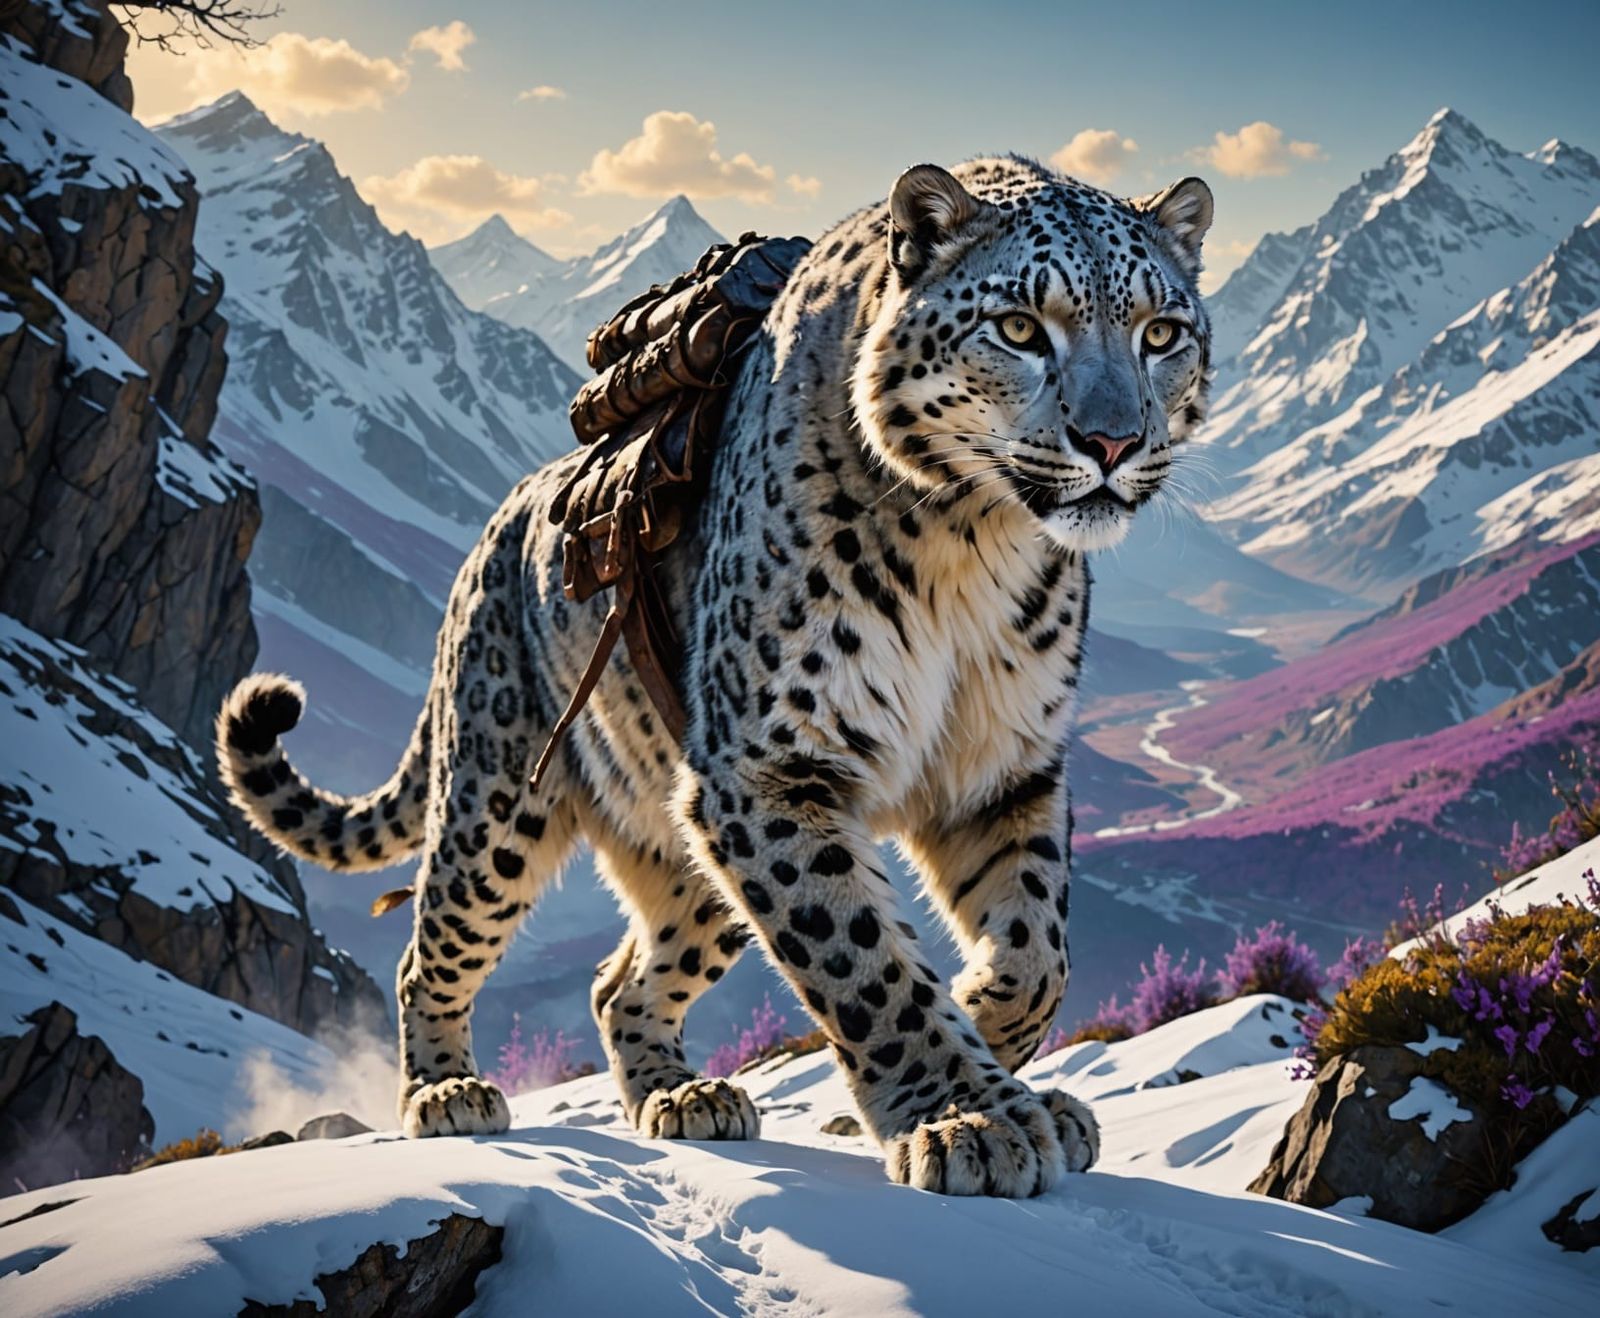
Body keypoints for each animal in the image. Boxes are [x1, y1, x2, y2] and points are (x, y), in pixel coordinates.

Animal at [217, 154, 1214, 1198]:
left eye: (1161, 332)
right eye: (1021, 327)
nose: (1114, 443)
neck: (974, 549)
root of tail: (491, 532)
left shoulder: (1004, 763)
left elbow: (1037, 943)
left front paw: (992, 1032)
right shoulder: (774, 763)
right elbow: (864, 963)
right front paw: (968, 1118)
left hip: (691, 841)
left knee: (619, 982)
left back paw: (683, 1095)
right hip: (501, 801)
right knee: (433, 949)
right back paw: (449, 1093)